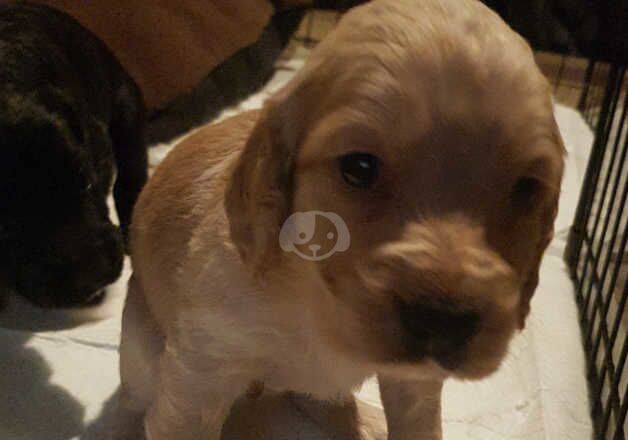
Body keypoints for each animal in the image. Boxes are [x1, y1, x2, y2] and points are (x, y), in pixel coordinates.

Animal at [114, 0, 564, 438]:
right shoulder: (202, 370)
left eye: (526, 188)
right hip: (140, 355)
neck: (315, 303)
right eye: (359, 168)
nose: (445, 323)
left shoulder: (414, 383)